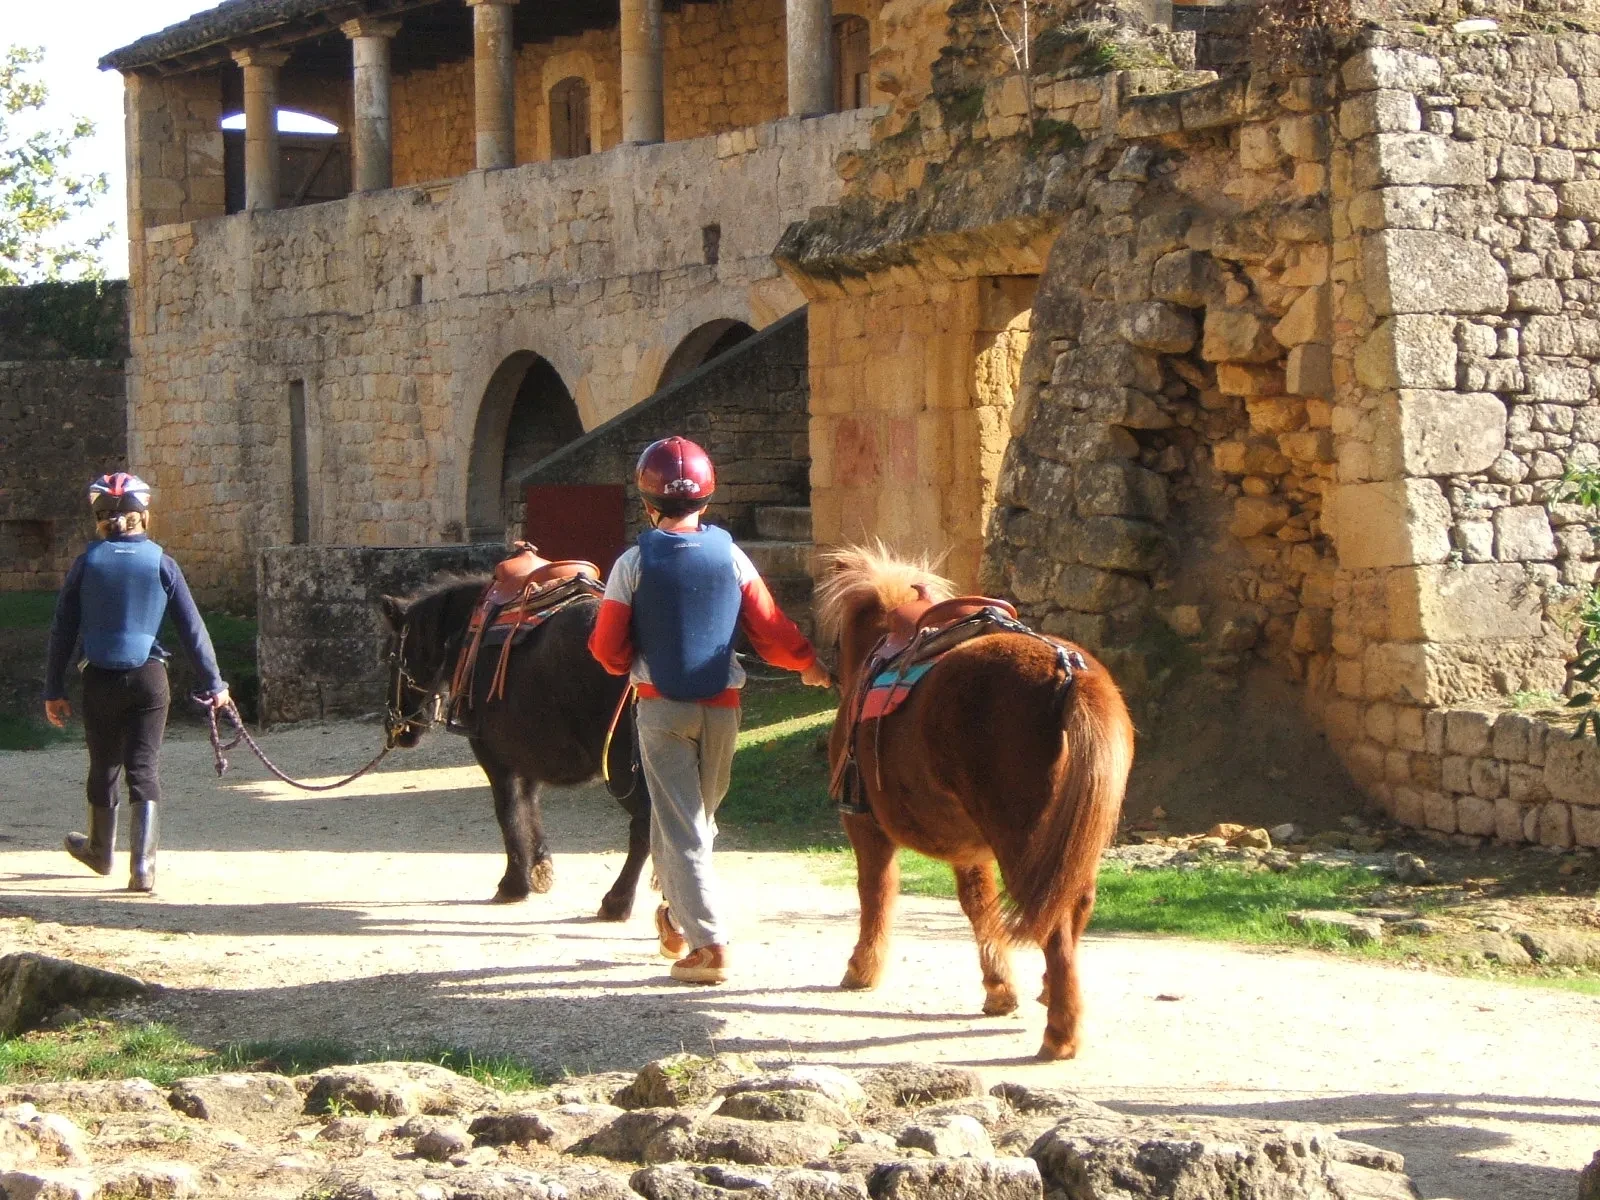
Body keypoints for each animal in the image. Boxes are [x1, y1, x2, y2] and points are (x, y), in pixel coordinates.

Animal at [379, 576, 650, 919]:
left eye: (391, 657)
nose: (395, 726)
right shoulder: (528, 754)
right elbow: (528, 807)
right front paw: (540, 870)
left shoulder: (495, 757)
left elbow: (508, 812)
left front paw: (514, 883)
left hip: (622, 768)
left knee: (645, 826)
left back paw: (617, 902)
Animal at [814, 544, 1134, 1060]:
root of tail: (1065, 671)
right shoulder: (971, 849)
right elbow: (979, 905)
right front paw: (1000, 989)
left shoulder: (866, 828)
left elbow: (876, 893)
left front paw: (862, 968)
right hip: (1073, 844)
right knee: (1072, 905)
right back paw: (1051, 994)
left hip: (1023, 843)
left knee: (1055, 927)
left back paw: (1060, 1034)